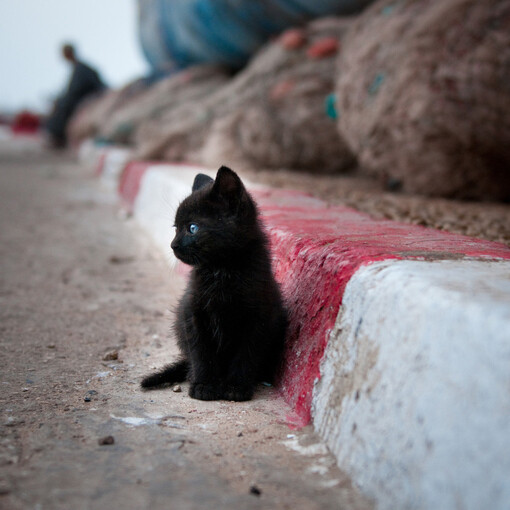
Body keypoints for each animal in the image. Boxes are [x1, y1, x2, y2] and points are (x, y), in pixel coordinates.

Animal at [140, 165, 286, 400]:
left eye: (192, 228)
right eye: (175, 228)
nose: (173, 245)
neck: (222, 270)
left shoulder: (259, 317)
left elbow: (246, 353)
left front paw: (236, 388)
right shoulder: (192, 312)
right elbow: (201, 352)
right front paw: (204, 385)